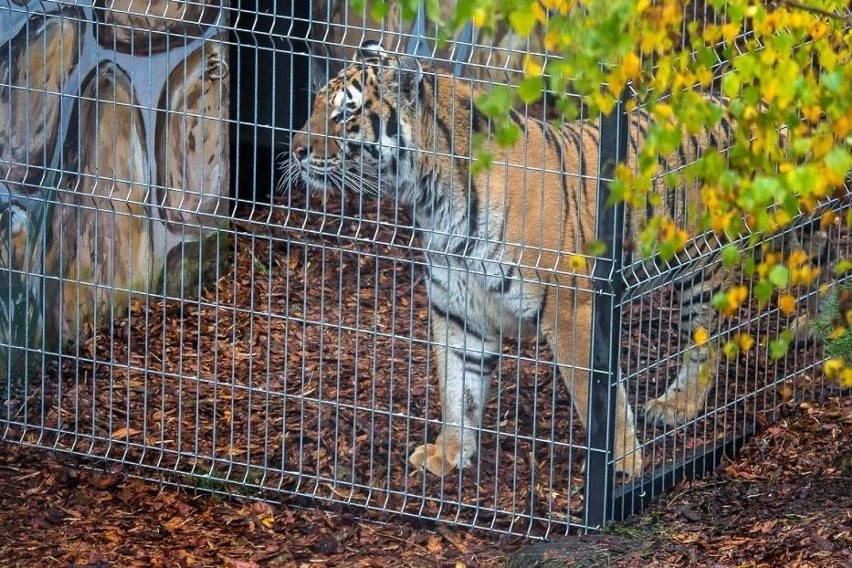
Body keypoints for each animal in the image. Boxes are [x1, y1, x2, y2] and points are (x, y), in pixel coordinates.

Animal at [284, 41, 824, 480]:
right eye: (313, 104)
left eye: (345, 114)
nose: (295, 148)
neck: (431, 197)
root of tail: (748, 107)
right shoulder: (457, 310)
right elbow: (458, 389)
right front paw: (450, 454)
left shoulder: (570, 310)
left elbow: (596, 395)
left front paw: (623, 464)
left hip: (702, 269)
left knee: (704, 345)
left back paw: (675, 406)